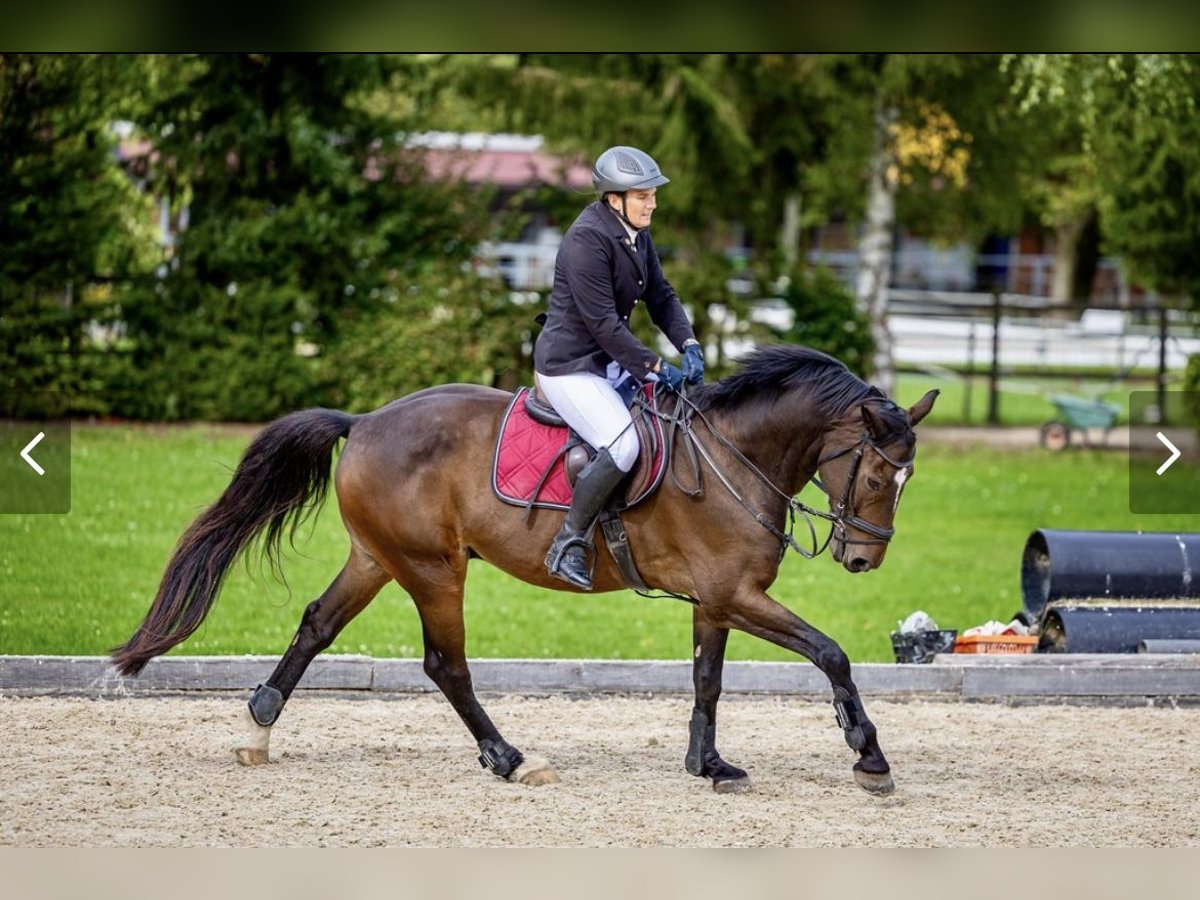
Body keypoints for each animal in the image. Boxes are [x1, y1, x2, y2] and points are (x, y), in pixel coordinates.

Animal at [112, 345, 936, 796]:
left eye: (907, 482)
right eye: (874, 475)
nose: (863, 557)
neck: (734, 455)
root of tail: (366, 421)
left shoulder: (717, 600)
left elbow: (708, 680)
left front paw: (707, 763)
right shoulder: (737, 594)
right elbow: (830, 653)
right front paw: (869, 755)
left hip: (378, 558)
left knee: (316, 624)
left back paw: (259, 725)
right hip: (434, 569)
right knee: (445, 664)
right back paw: (510, 758)